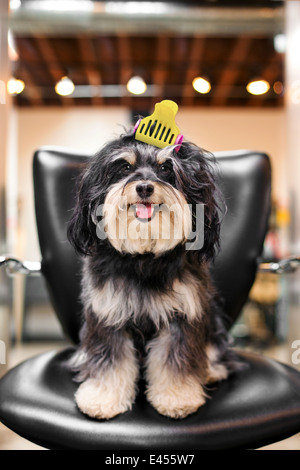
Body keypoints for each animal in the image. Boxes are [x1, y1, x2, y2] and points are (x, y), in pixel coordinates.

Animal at [67, 130, 238, 420]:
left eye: (166, 169)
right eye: (125, 167)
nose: (145, 187)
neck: (144, 258)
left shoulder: (182, 315)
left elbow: (175, 360)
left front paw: (177, 397)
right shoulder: (108, 314)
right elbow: (109, 360)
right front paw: (102, 397)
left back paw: (211, 370)